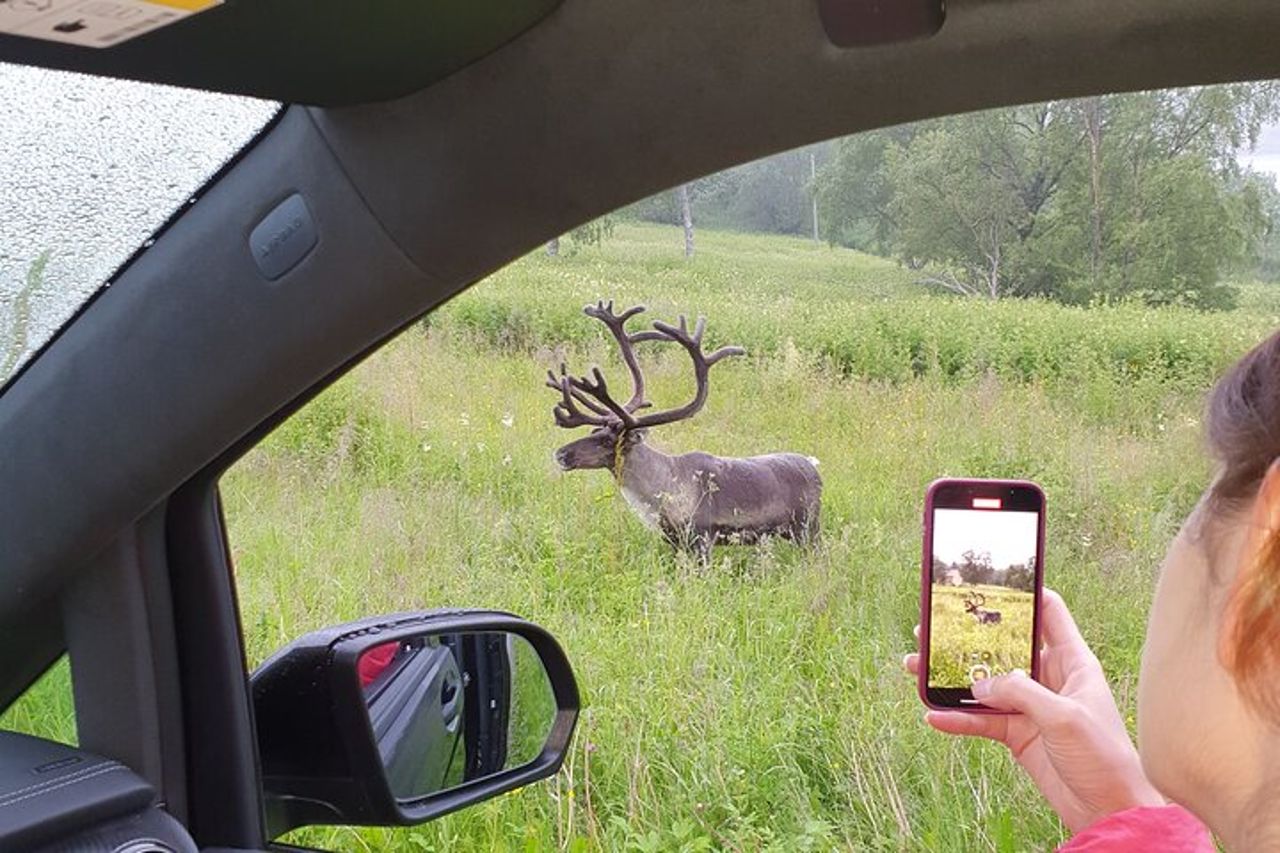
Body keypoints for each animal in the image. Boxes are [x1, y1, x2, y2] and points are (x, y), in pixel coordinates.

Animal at [546, 300, 822, 561]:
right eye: (594, 432)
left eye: (608, 441)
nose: (560, 454)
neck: (662, 489)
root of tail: (813, 465)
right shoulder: (673, 541)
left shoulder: (702, 536)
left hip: (807, 528)